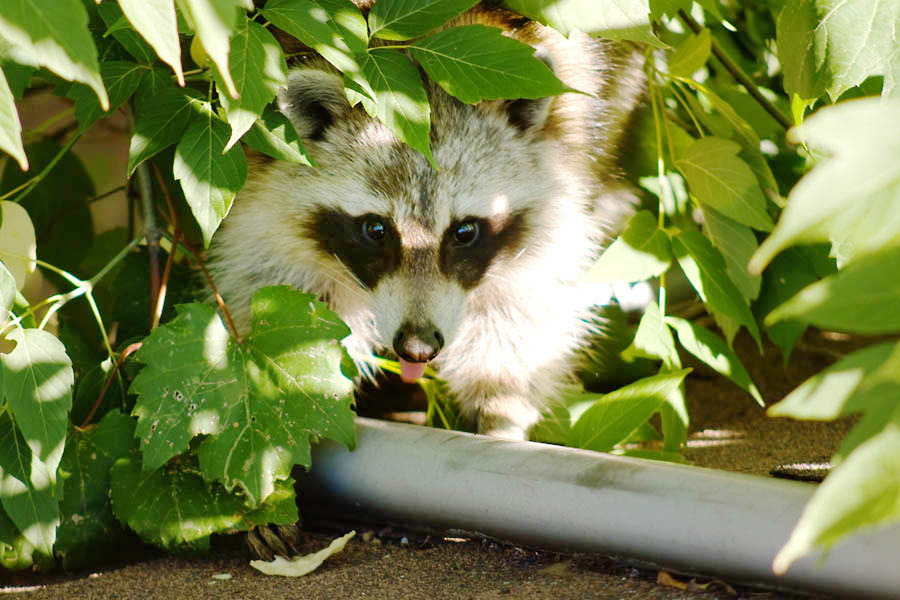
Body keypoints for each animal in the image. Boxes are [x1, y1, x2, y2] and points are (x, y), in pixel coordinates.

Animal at [207, 4, 645, 440]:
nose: (417, 348)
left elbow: (525, 291)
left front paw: (501, 395)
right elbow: (277, 273)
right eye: (376, 230)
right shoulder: (267, 166)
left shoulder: (563, 157)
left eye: (464, 232)